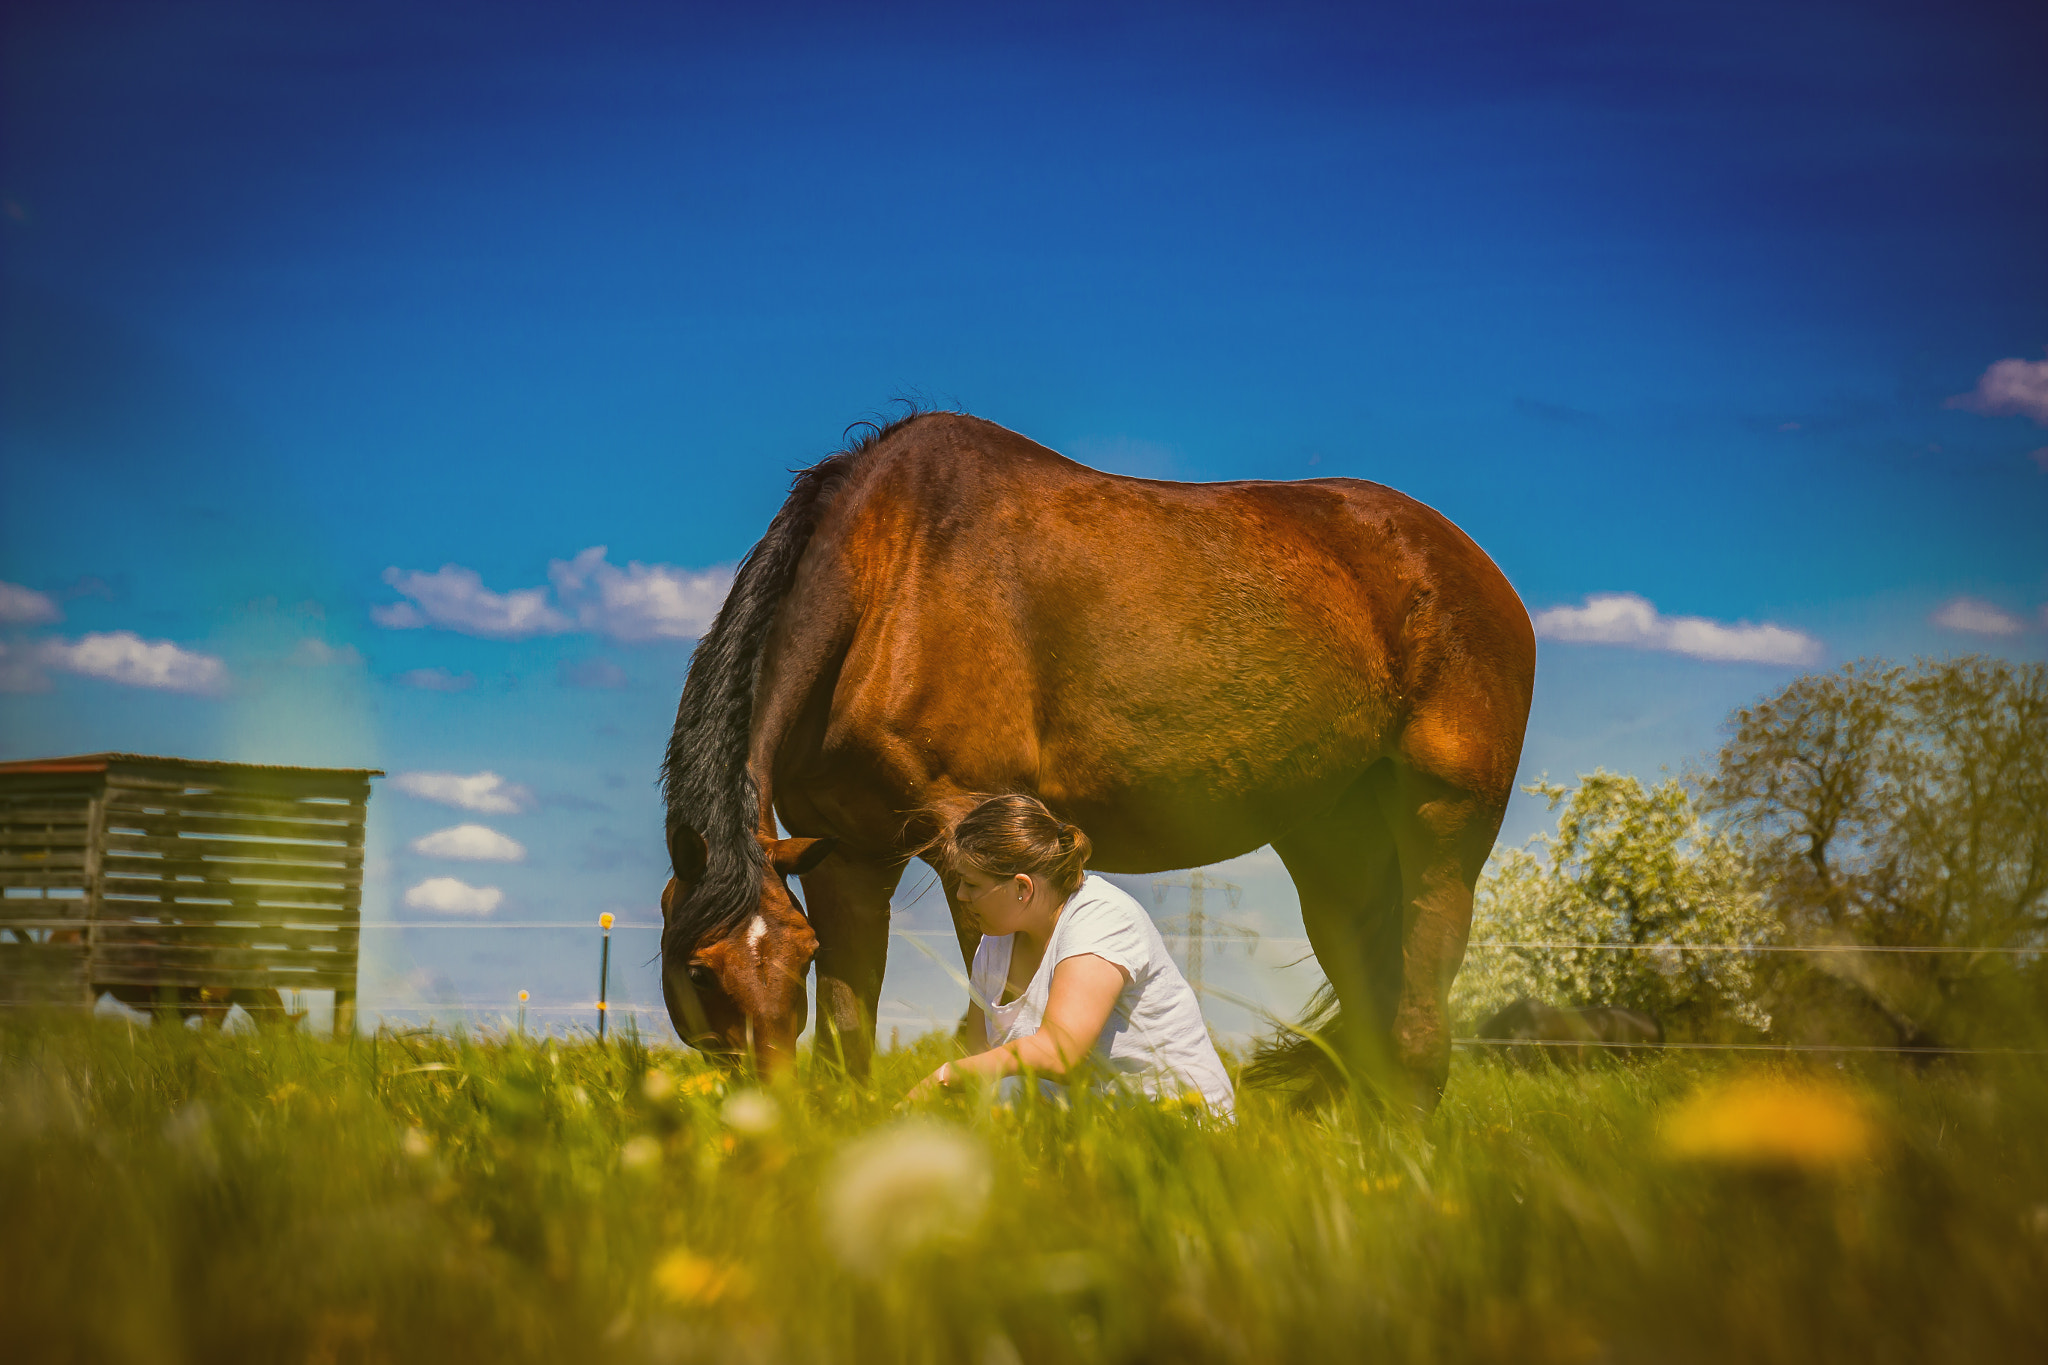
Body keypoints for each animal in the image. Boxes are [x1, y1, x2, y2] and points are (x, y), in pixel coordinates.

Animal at [659, 413, 1540, 1113]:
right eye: (699, 970)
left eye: (791, 959)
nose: (767, 1113)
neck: (893, 580)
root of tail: (1473, 566)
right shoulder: (848, 861)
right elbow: (850, 1042)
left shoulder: (965, 833)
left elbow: (994, 1019)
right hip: (1332, 842)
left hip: (1443, 826)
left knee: (1419, 1018)